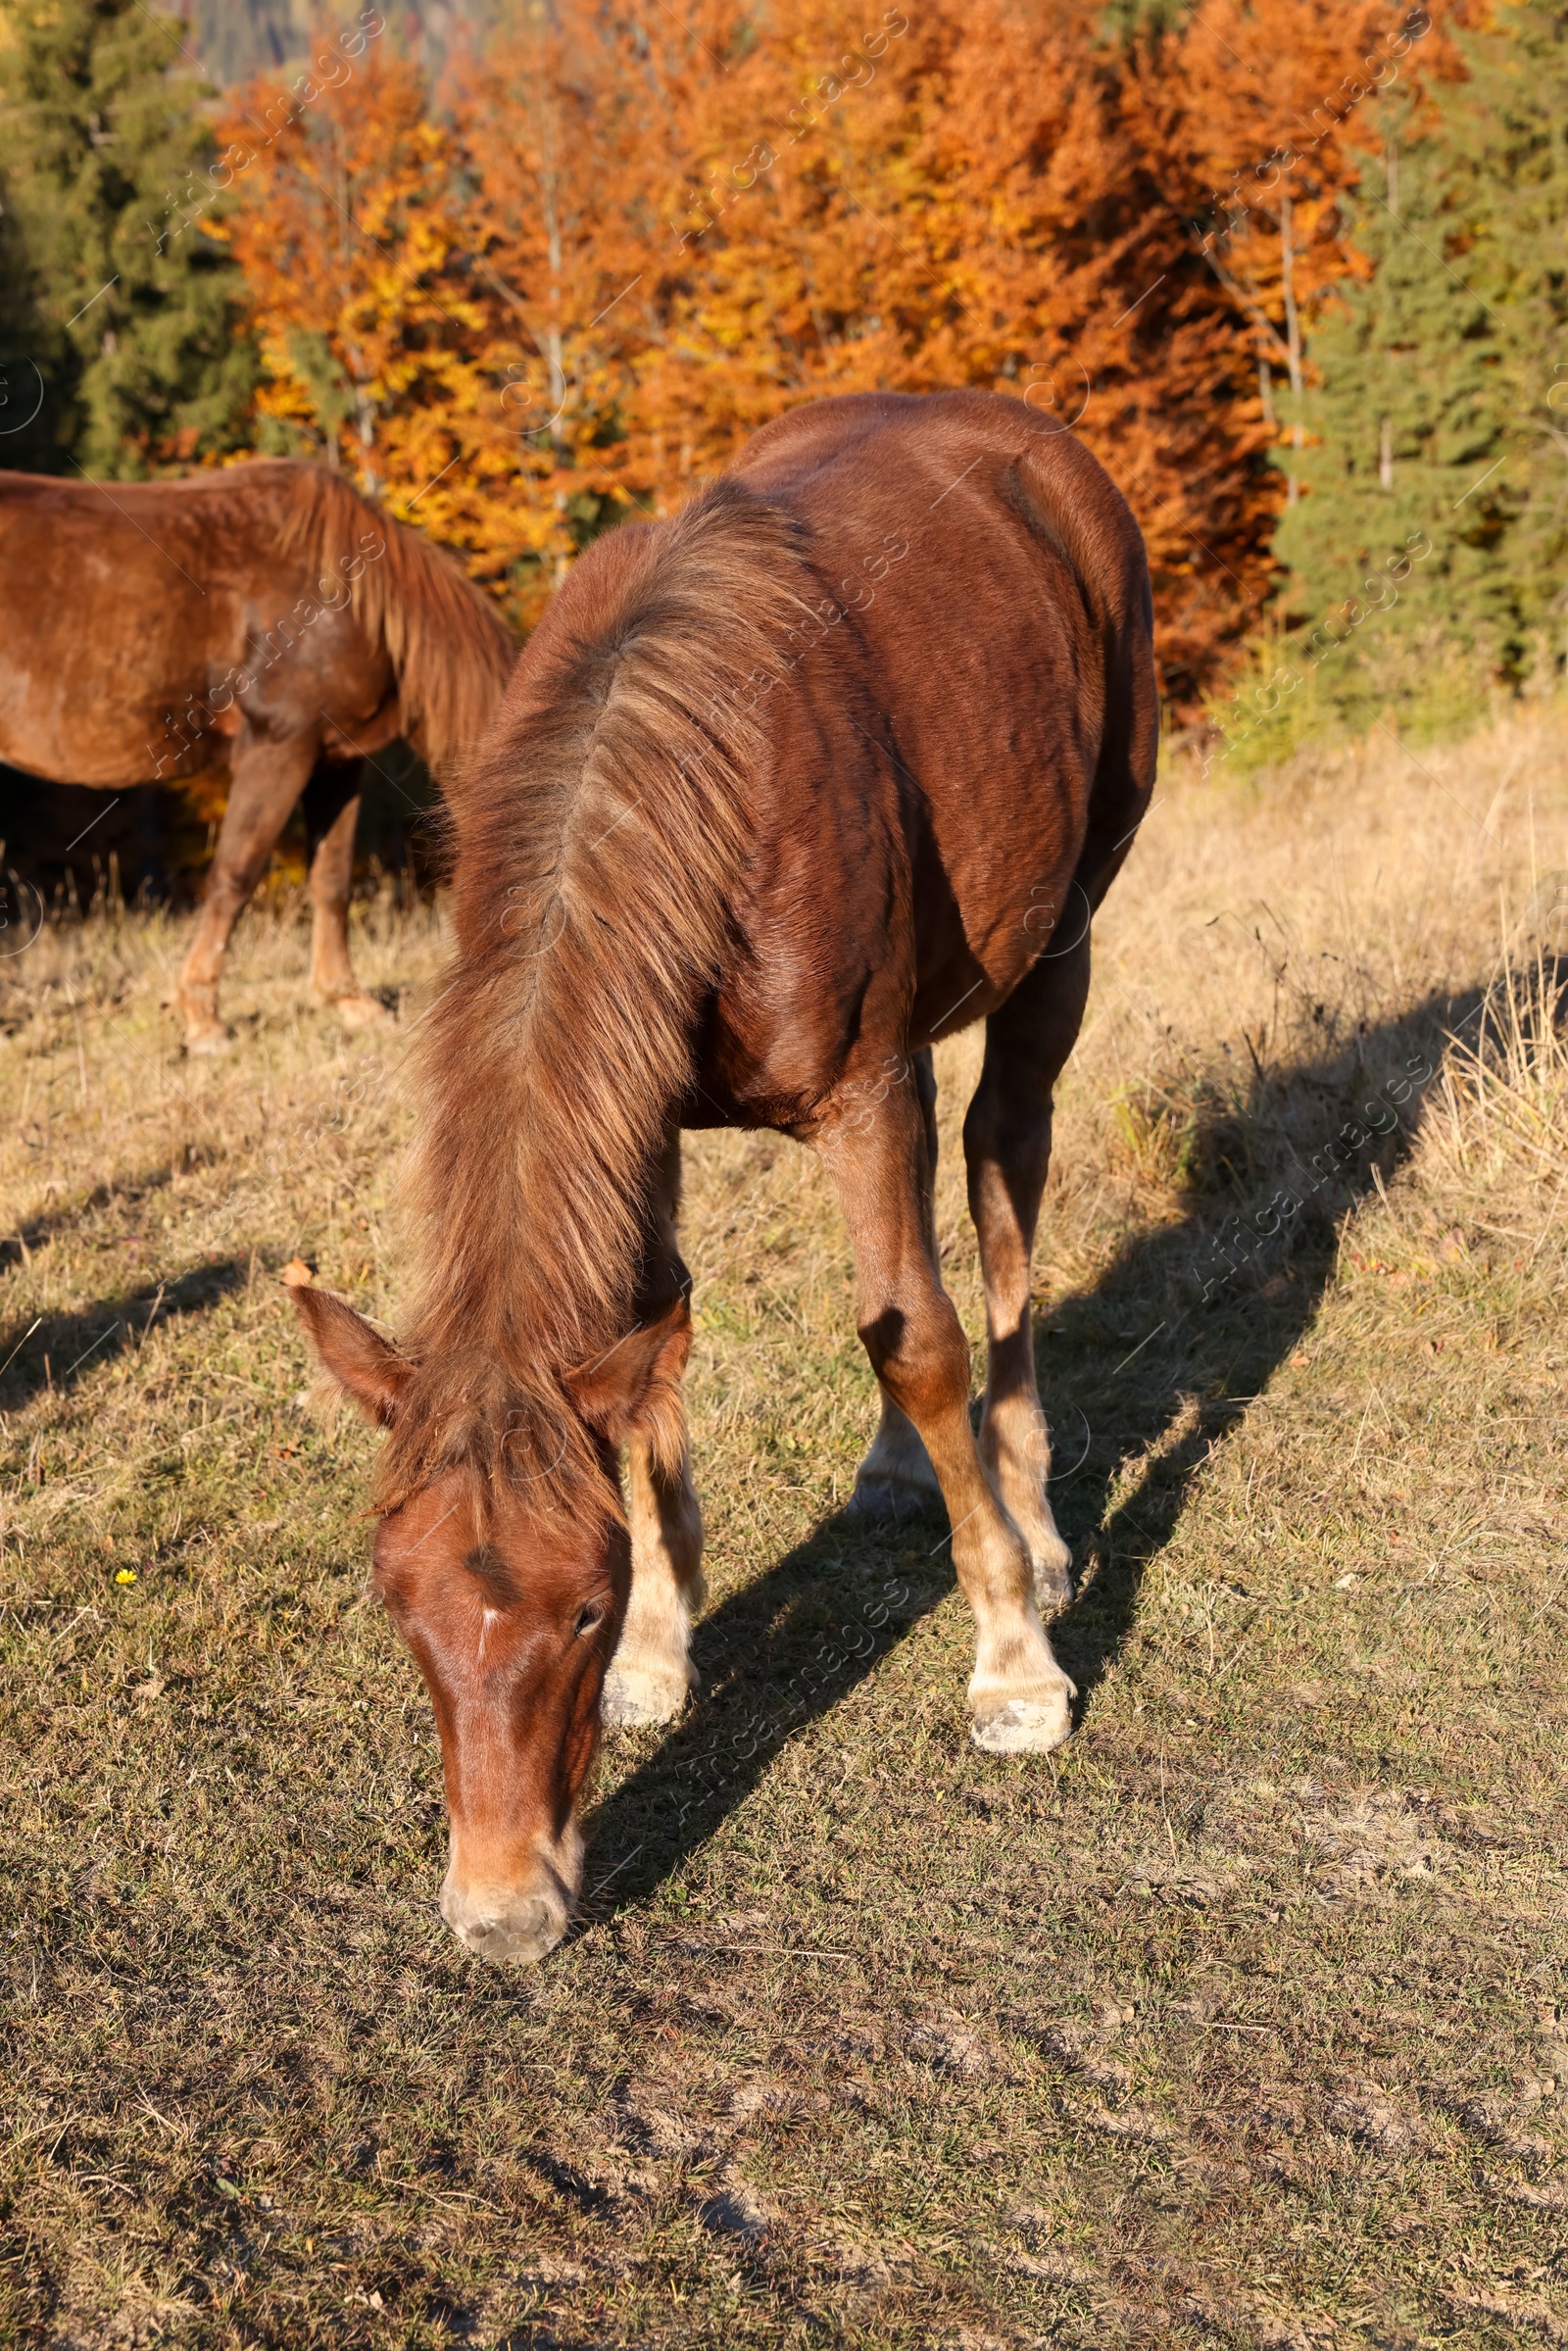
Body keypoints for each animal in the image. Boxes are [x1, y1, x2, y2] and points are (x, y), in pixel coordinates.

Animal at [0, 458, 514, 1048]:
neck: (353, 603)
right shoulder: (278, 750)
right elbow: (233, 878)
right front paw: (203, 1017)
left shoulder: (337, 763)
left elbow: (331, 879)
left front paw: (348, 1000)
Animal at [287, 385, 1161, 1965]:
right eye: (397, 1604)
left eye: (578, 1607)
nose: (502, 1913)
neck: (679, 774)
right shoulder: (649, 1113)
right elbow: (661, 1356)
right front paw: (669, 1644)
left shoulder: (866, 1089)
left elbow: (920, 1340)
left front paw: (1013, 1657)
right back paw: (902, 1473)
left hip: (1060, 935)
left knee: (1002, 1178)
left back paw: (1031, 1514)